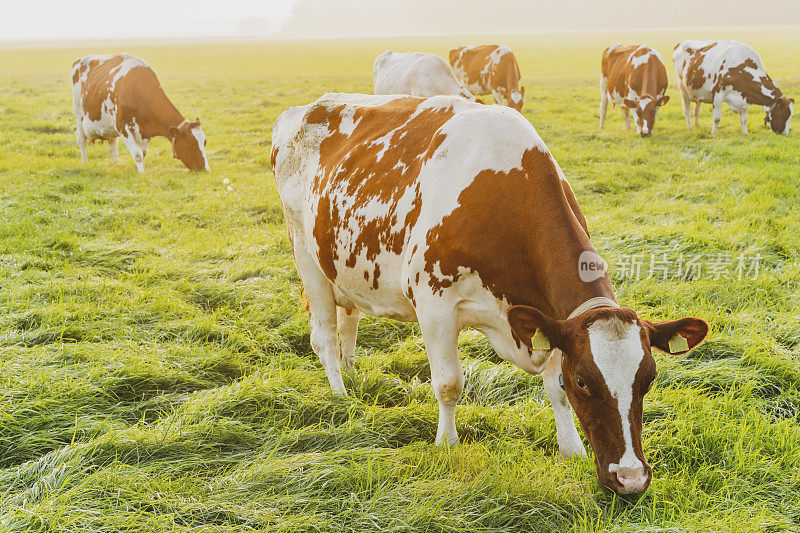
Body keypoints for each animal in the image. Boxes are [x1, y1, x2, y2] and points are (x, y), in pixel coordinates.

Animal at [71, 53, 209, 172]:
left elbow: (143, 153)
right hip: (79, 115)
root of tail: (79, 61)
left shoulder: (145, 130)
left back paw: (116, 166)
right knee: (81, 139)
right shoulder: (123, 128)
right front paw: (142, 174)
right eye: (192, 144)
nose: (206, 170)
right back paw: (85, 163)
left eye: (205, 142)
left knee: (113, 145)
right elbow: (137, 154)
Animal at [272, 92, 708, 494]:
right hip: (304, 252)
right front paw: (447, 444)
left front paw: (571, 451)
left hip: (344, 266)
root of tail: (305, 108)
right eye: (585, 381)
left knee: (349, 318)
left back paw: (350, 371)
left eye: (648, 379)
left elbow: (555, 389)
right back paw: (340, 394)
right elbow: (448, 383)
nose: (631, 479)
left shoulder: (549, 320)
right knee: (324, 336)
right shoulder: (435, 304)